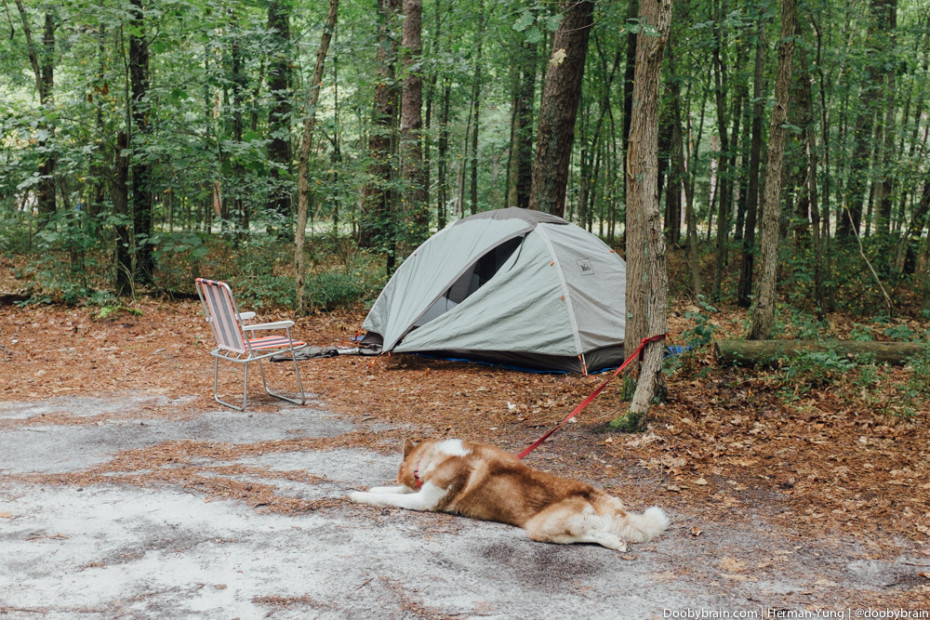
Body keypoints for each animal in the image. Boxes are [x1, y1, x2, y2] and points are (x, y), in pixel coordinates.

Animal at [348, 436, 668, 552]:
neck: (434, 459)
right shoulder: (417, 490)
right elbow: (387, 490)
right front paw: (368, 488)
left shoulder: (423, 501)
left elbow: (388, 497)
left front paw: (356, 495)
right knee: (596, 534)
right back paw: (615, 543)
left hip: (541, 527)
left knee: (580, 536)